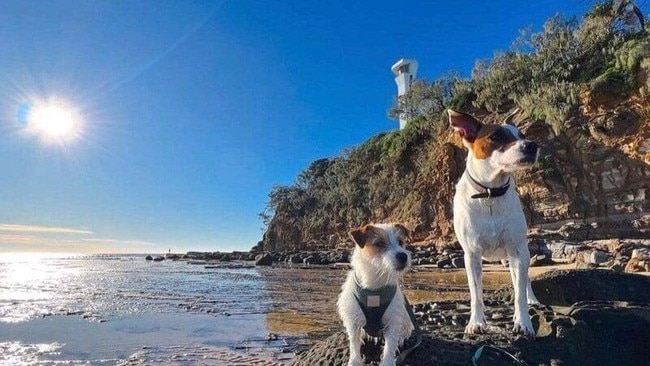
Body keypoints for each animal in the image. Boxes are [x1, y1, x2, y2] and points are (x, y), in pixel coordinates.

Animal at [336, 223, 412, 366]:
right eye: (380, 243)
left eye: (400, 242)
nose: (403, 256)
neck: (375, 288)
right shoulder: (353, 321)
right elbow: (354, 343)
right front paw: (354, 361)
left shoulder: (393, 320)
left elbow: (390, 345)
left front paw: (388, 362)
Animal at [448, 110, 540, 338]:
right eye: (496, 136)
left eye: (521, 135)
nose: (532, 145)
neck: (490, 193)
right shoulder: (471, 255)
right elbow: (476, 293)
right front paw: (476, 322)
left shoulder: (517, 250)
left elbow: (519, 292)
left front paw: (523, 322)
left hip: (520, 253)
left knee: (523, 280)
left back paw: (531, 300)